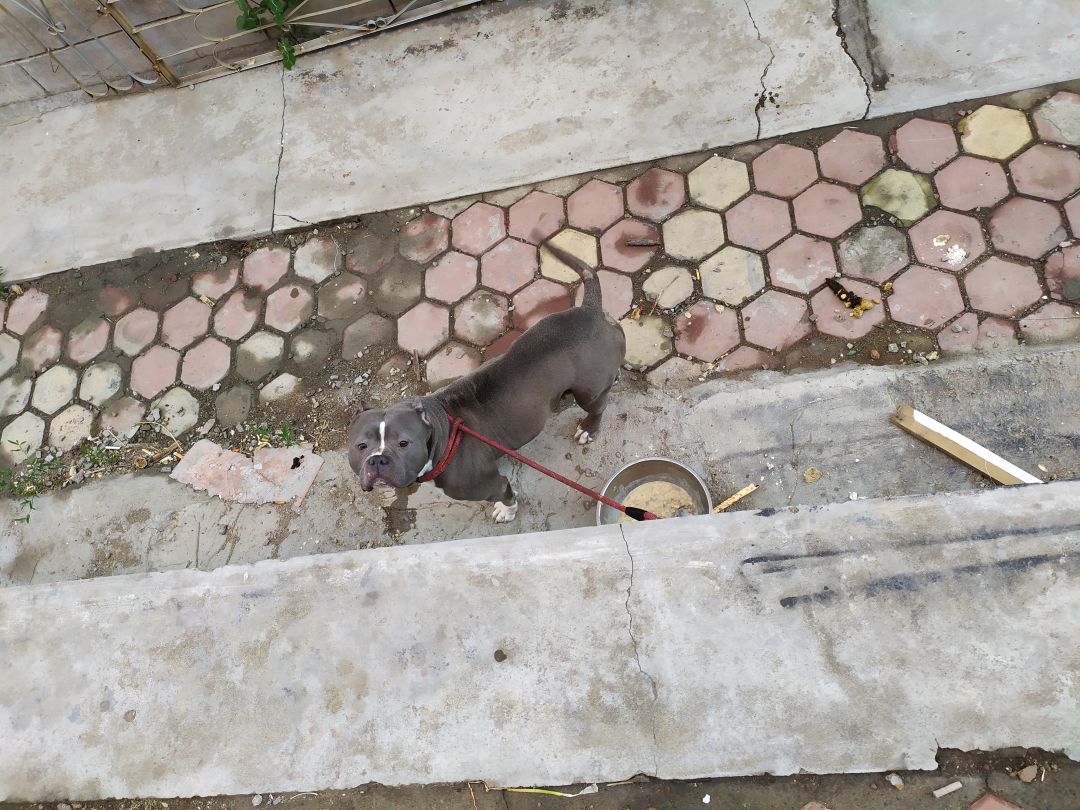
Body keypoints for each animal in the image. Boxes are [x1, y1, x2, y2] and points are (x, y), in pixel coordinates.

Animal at [348, 242, 625, 522]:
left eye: (404, 443)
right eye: (361, 446)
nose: (377, 460)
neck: (443, 428)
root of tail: (590, 310)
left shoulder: (489, 485)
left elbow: (505, 494)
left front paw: (506, 510)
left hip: (588, 392)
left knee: (598, 406)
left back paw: (588, 428)